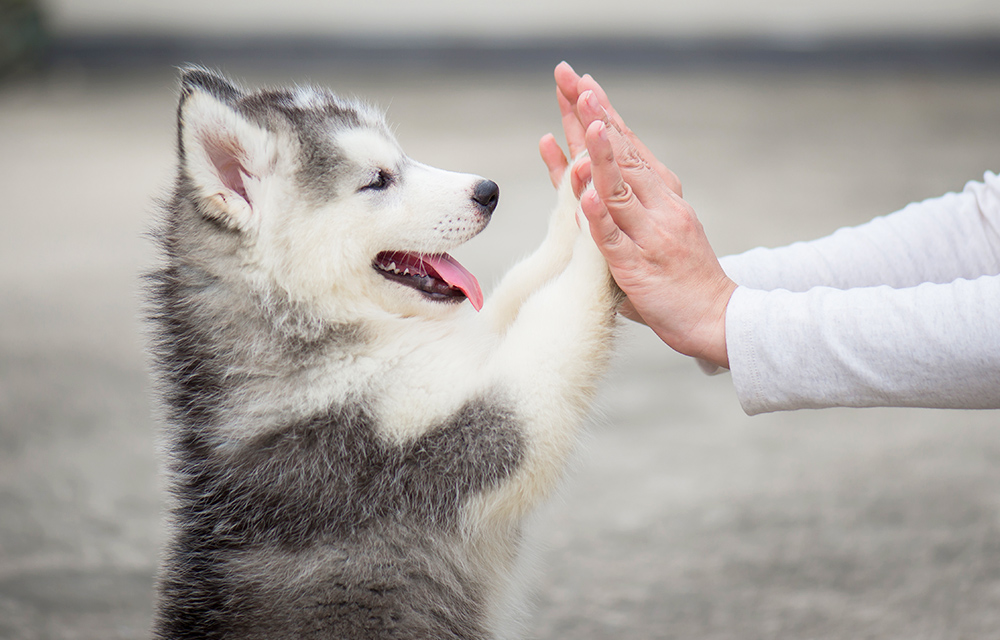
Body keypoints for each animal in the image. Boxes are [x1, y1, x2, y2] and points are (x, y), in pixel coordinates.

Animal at [148, 67, 620, 636]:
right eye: (378, 180)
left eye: (402, 158)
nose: (488, 191)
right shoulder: (442, 441)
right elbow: (555, 316)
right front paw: (607, 224)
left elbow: (519, 289)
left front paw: (580, 185)